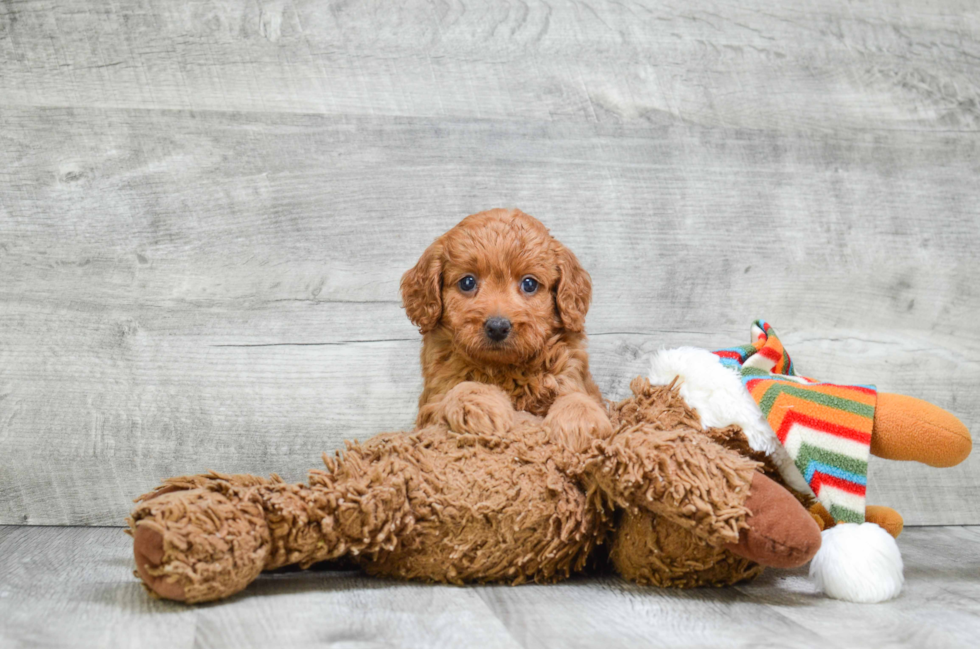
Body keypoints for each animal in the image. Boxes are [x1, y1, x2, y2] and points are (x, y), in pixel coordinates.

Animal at [402, 209, 608, 450]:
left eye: (529, 284)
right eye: (467, 282)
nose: (498, 327)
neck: (505, 367)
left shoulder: (572, 374)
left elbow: (577, 396)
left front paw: (578, 421)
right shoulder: (432, 401)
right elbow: (462, 387)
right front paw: (480, 406)